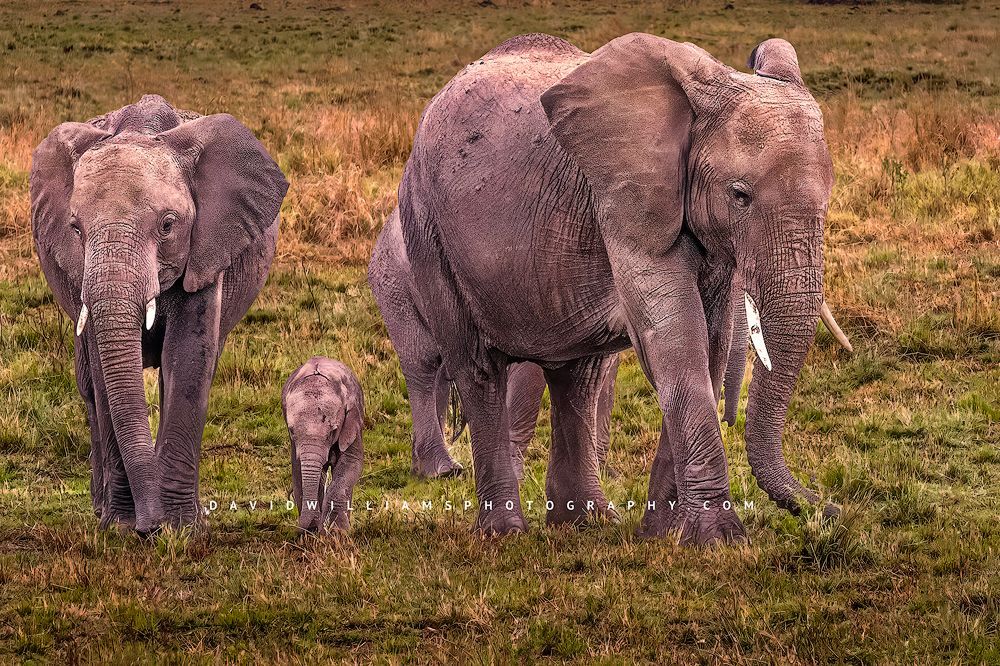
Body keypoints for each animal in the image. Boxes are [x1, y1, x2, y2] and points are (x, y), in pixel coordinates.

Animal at [30, 94, 289, 533]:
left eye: (168, 225)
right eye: (75, 229)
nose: (148, 527)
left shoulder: (207, 247)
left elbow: (187, 360)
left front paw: (182, 527)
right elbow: (104, 373)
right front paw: (120, 526)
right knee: (88, 386)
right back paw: (100, 509)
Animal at [282, 357, 364, 534]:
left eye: (332, 431)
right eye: (291, 431)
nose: (315, 527)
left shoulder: (352, 420)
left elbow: (351, 463)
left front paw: (338, 533)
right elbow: (298, 470)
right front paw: (312, 532)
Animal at [395, 33, 853, 544]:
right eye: (740, 195)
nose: (828, 507)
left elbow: (708, 347)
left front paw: (664, 537)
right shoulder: (623, 202)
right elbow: (677, 342)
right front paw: (720, 540)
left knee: (579, 377)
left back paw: (587, 521)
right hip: (427, 225)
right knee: (479, 370)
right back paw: (505, 533)